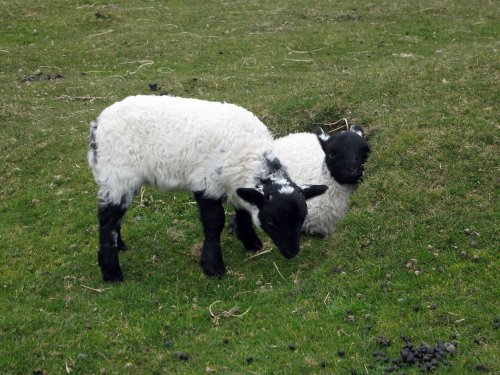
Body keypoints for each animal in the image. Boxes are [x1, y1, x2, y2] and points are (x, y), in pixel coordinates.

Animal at [88, 95, 326, 284]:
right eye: (270, 221)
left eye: (302, 217)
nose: (292, 252)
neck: (249, 154)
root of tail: (98, 124)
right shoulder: (205, 182)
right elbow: (214, 222)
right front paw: (213, 266)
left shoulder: (234, 184)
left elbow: (243, 211)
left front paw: (251, 243)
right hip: (118, 172)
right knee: (107, 218)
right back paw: (111, 272)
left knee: (114, 215)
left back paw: (119, 246)